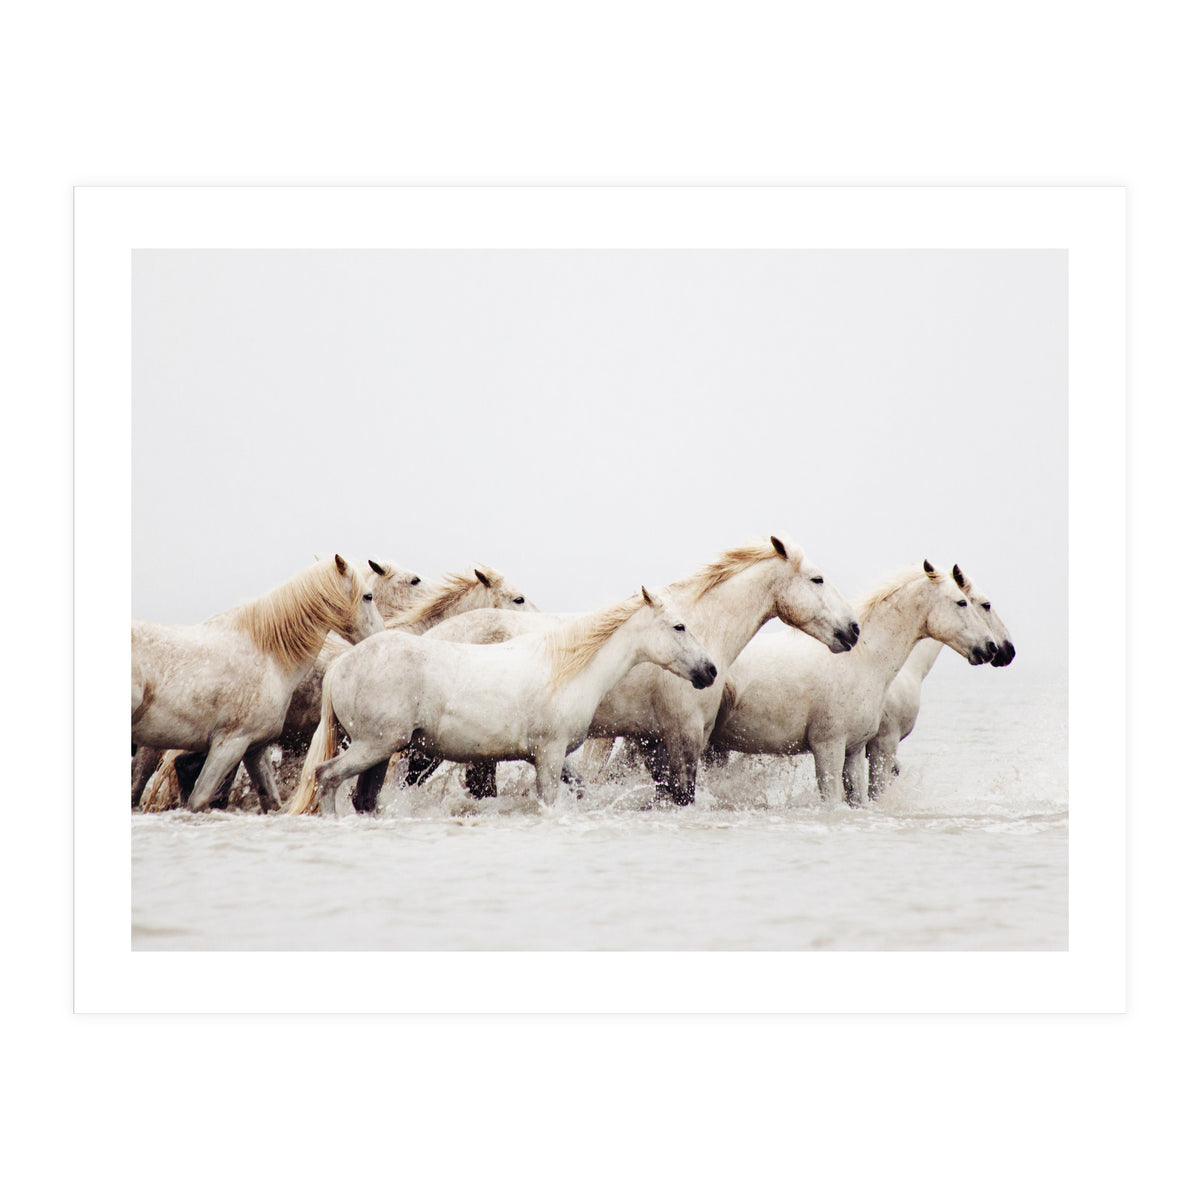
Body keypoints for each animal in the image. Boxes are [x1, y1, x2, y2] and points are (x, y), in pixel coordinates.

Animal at [131, 555, 382, 813]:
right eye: (368, 596)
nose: (381, 635)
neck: (268, 655)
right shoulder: (229, 745)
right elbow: (199, 799)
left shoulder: (254, 748)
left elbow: (270, 800)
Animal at [285, 587, 719, 815]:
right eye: (679, 626)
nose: (710, 671)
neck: (566, 668)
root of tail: (342, 664)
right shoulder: (549, 754)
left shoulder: (550, 757)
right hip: (374, 746)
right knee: (327, 777)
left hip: (380, 751)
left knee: (363, 797)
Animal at [416, 536, 861, 805]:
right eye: (817, 579)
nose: (853, 630)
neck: (699, 627)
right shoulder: (682, 737)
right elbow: (682, 795)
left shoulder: (652, 741)